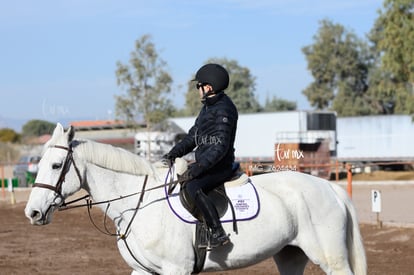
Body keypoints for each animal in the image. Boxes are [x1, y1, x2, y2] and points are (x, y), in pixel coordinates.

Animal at [25, 124, 366, 274]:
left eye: (56, 165)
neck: (140, 206)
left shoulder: (176, 269)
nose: (32, 213)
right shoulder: (145, 271)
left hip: (331, 257)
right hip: (290, 254)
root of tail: (329, 188)